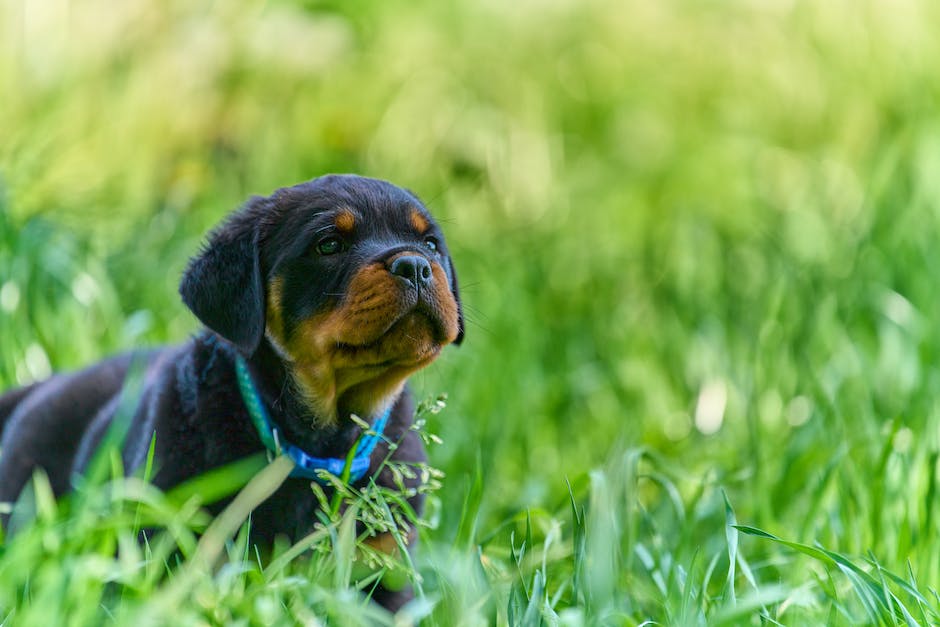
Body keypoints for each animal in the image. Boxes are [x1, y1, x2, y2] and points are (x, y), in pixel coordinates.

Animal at [0, 174, 464, 612]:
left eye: (430, 244)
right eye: (329, 244)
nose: (414, 264)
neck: (323, 442)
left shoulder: (384, 568)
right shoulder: (173, 545)